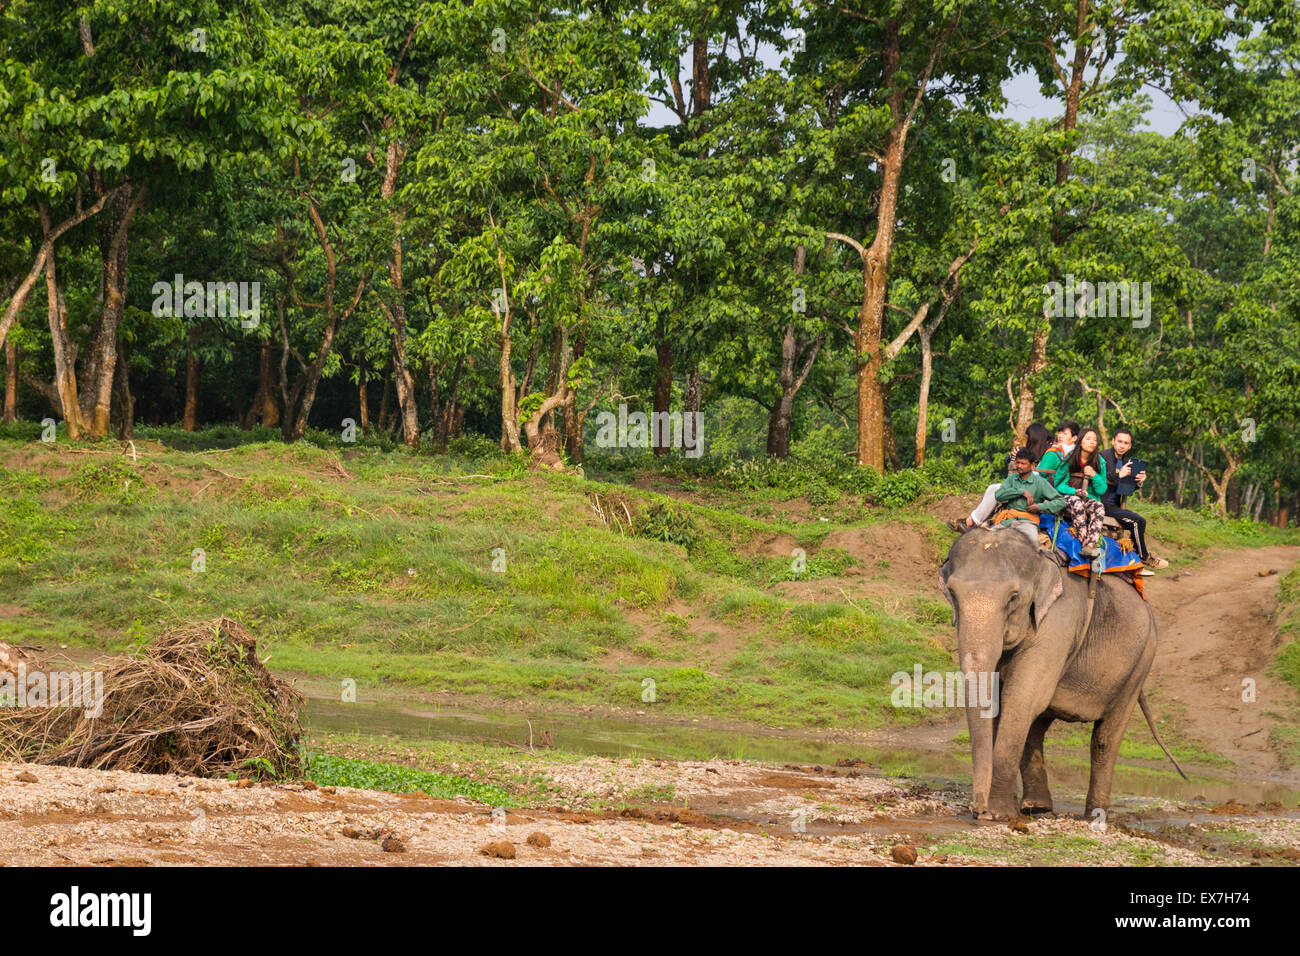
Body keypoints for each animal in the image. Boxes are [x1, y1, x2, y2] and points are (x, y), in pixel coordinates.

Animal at [938, 526, 1184, 821]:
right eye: (952, 593)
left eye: (1013, 598)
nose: (978, 809)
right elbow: (1010, 702)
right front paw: (998, 811)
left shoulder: (1059, 621)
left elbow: (1021, 697)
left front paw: (998, 814)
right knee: (1037, 726)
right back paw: (1037, 807)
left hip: (1141, 661)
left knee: (1104, 739)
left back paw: (1094, 817)